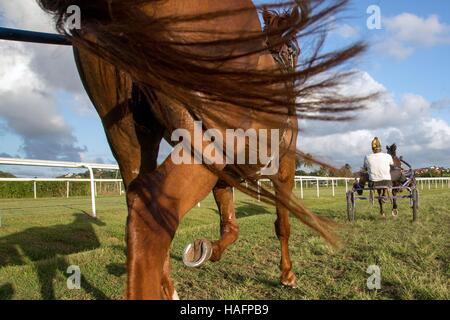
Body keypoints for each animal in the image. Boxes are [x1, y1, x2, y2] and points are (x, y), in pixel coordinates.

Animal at [37, 0, 370, 300]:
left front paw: (206, 251)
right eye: (295, 50)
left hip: (129, 137)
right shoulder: (283, 169)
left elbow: (231, 227)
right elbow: (282, 225)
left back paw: (168, 288)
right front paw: (287, 275)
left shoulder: (224, 175)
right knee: (149, 214)